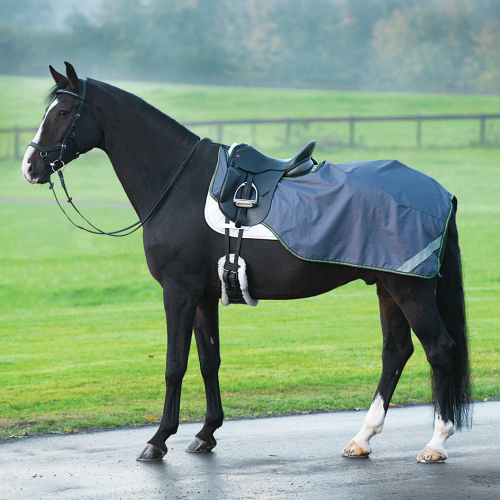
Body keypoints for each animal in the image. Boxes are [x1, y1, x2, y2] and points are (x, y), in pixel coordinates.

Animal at [21, 63, 470, 464]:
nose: (30, 166)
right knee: (396, 352)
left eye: (63, 112)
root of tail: (440, 192)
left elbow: (174, 365)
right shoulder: (203, 295)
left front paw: (159, 439)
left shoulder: (178, 291)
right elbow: (209, 361)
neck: (178, 182)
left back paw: (436, 443)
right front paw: (206, 432)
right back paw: (362, 438)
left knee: (440, 349)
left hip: (410, 289)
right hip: (387, 286)